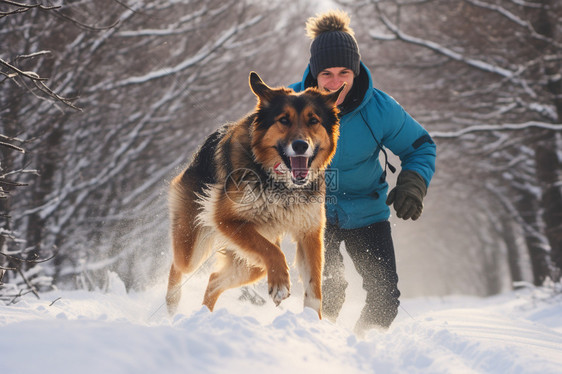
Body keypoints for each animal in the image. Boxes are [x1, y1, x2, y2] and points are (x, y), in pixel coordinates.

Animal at [164, 73, 344, 318]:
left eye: (313, 120)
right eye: (284, 120)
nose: (300, 145)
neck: (278, 182)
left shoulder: (309, 232)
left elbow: (314, 286)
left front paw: (312, 320)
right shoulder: (226, 220)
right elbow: (272, 251)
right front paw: (280, 284)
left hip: (251, 263)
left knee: (213, 280)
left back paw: (204, 314)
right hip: (193, 245)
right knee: (178, 264)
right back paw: (172, 304)